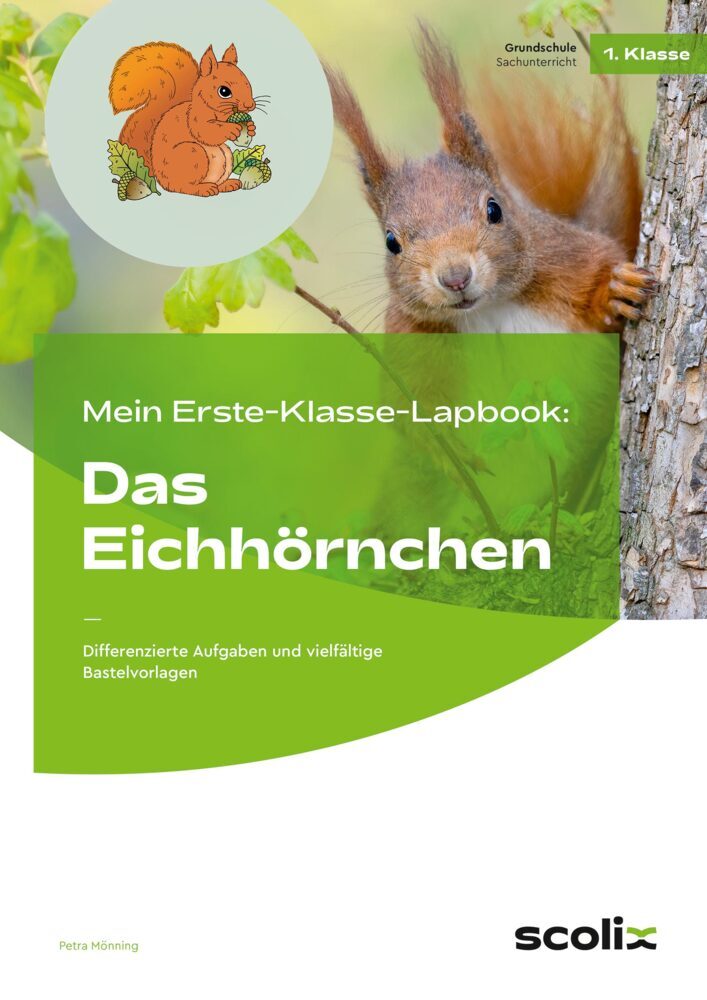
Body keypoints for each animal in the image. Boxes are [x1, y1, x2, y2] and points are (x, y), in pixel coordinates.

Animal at [109, 42, 257, 197]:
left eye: (247, 83)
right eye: (224, 91)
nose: (250, 105)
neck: (221, 114)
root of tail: (159, 178)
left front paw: (251, 127)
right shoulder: (194, 118)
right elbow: (206, 131)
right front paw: (232, 129)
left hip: (226, 157)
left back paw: (227, 184)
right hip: (193, 153)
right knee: (181, 187)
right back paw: (204, 189)